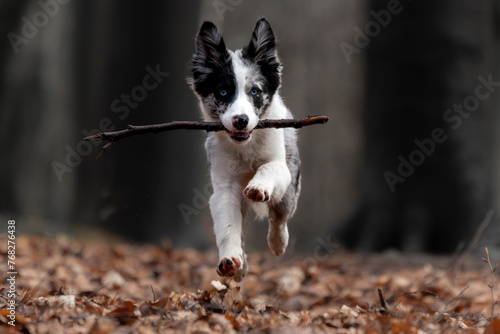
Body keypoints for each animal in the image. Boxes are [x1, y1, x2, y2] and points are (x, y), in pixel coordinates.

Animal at [188, 18, 300, 282]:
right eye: (222, 92)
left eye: (255, 91)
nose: (240, 120)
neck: (245, 147)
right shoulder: (225, 188)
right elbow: (228, 228)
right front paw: (230, 261)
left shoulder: (280, 166)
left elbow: (268, 169)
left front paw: (258, 187)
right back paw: (240, 269)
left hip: (290, 189)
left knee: (280, 217)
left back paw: (278, 243)